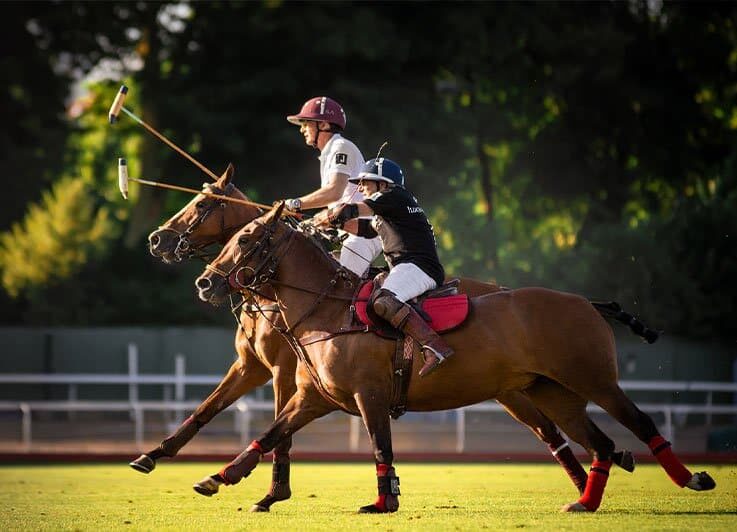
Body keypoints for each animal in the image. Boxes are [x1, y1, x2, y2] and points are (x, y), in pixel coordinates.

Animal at [134, 164, 620, 504]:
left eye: (202, 205)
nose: (158, 241)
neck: (317, 304)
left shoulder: (286, 372)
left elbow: (280, 432)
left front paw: (274, 492)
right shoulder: (257, 367)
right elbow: (212, 411)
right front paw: (157, 458)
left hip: (520, 388)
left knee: (552, 430)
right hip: (514, 387)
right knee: (553, 431)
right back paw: (594, 480)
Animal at [191, 203, 712, 512]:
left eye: (247, 238)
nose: (205, 282)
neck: (325, 309)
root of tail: (587, 302)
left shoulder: (369, 395)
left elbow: (381, 448)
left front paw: (384, 502)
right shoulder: (316, 398)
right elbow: (270, 432)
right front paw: (218, 478)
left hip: (593, 378)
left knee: (640, 421)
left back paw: (691, 479)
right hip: (552, 391)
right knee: (599, 442)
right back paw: (585, 501)